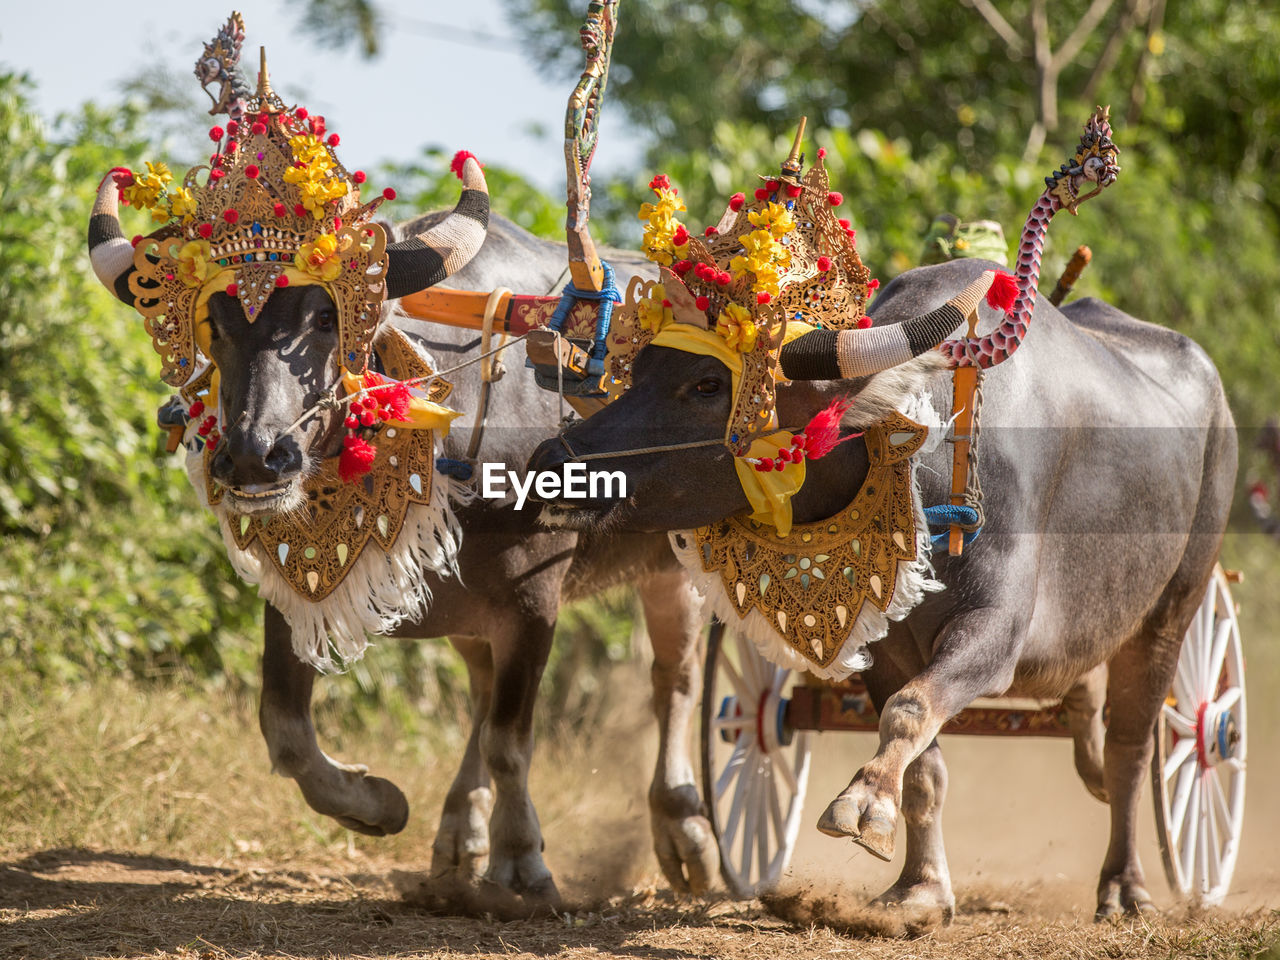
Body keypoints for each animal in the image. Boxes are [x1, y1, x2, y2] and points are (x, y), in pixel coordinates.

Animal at [524, 257, 1233, 926]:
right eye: (639, 368)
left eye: (707, 385)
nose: (550, 462)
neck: (930, 442)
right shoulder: (887, 640)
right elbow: (923, 760)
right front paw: (919, 889)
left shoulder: (996, 630)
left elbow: (913, 710)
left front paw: (862, 802)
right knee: (1088, 705)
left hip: (1178, 604)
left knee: (1132, 746)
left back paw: (1127, 886)